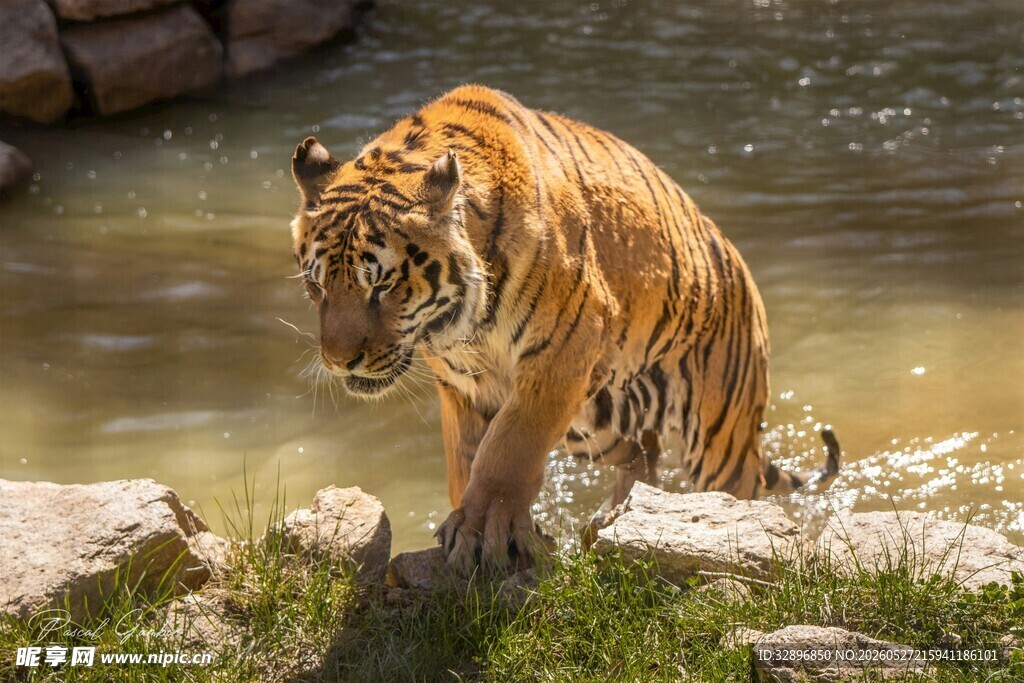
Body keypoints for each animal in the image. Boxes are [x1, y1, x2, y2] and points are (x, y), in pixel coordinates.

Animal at [289, 84, 840, 573]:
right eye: (316, 285)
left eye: (382, 286)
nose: (339, 362)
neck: (460, 327)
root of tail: (739, 266)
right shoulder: (464, 384)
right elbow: (468, 459)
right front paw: (472, 526)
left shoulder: (564, 347)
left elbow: (511, 446)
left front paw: (486, 529)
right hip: (594, 424)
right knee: (641, 457)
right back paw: (610, 522)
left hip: (717, 435)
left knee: (732, 489)